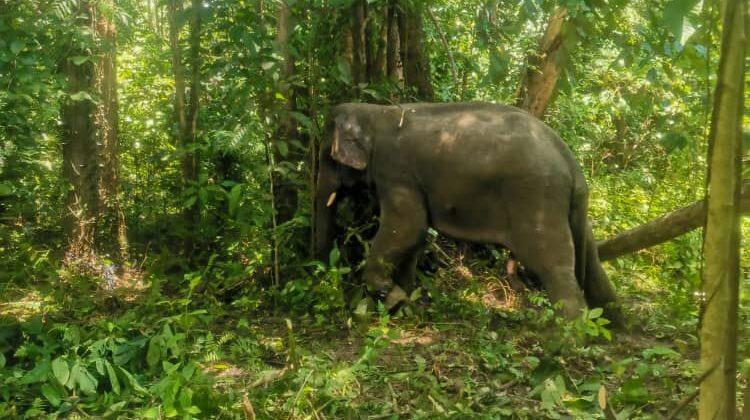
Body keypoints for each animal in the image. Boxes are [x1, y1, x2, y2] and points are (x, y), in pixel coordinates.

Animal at [314, 101, 624, 324]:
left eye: (326, 156)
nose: (324, 275)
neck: (376, 113)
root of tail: (570, 161)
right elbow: (414, 237)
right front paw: (404, 301)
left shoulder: (396, 172)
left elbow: (407, 227)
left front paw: (390, 295)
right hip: (572, 207)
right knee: (591, 263)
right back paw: (617, 325)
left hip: (538, 198)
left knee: (553, 266)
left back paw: (563, 345)